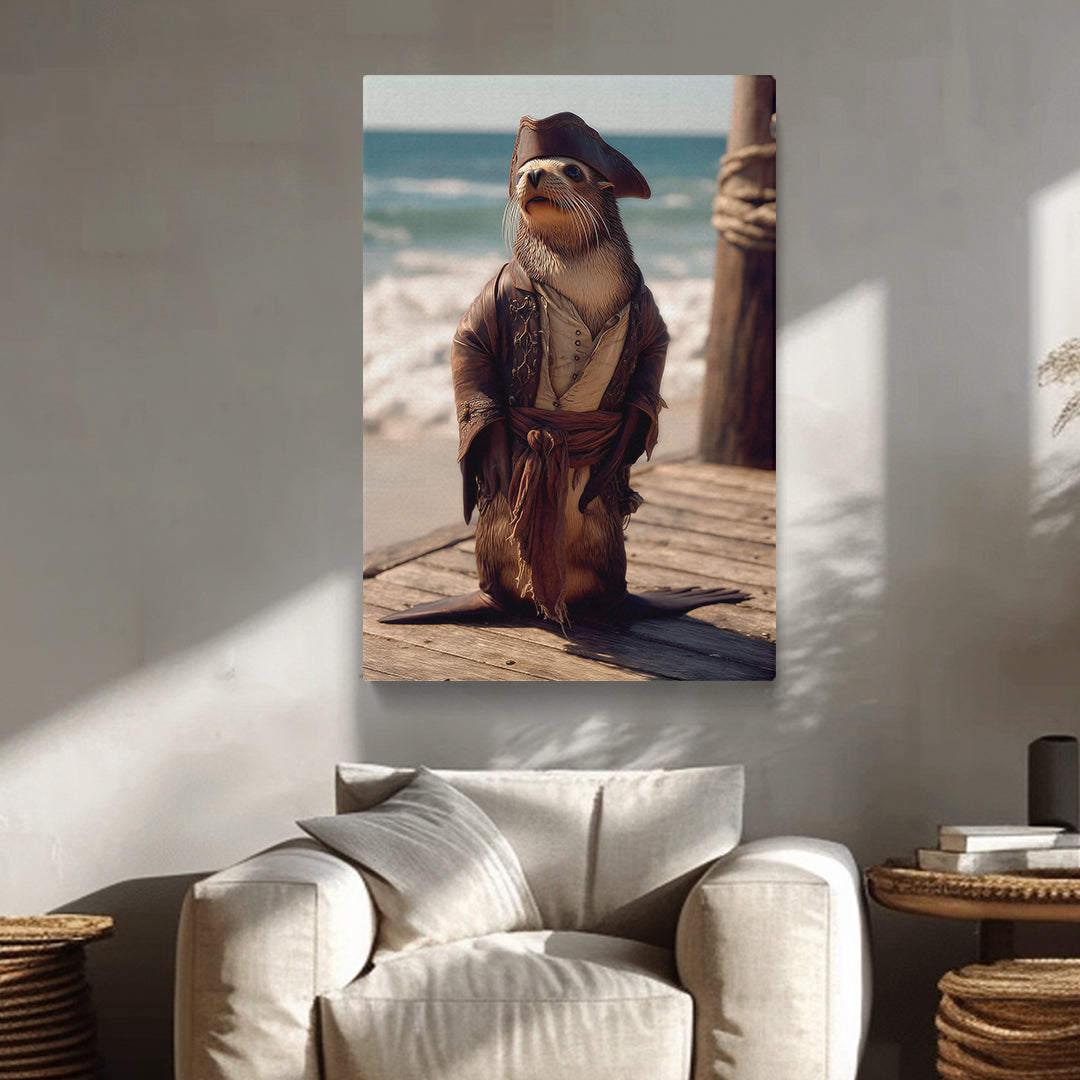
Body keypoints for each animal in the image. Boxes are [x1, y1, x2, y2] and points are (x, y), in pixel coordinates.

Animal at [380, 113, 747, 627]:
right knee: (495, 587)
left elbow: (650, 371)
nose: (532, 175)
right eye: (521, 172)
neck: (578, 275)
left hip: (610, 545)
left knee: (615, 592)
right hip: (492, 542)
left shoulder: (649, 311)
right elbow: (468, 352)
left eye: (573, 170)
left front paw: (619, 456)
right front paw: (494, 460)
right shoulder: (487, 303)